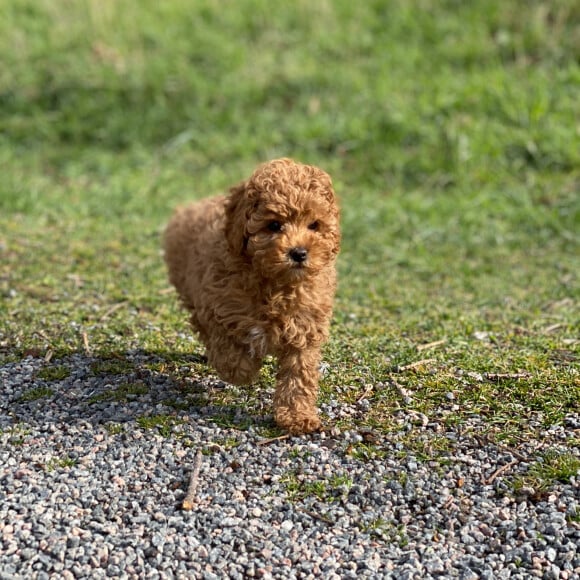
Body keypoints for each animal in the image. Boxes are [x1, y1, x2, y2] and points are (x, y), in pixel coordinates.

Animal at [163, 159, 340, 436]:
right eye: (274, 225)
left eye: (314, 225)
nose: (299, 253)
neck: (277, 285)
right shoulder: (219, 308)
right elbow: (231, 354)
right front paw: (245, 368)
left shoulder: (305, 328)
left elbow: (298, 376)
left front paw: (297, 416)